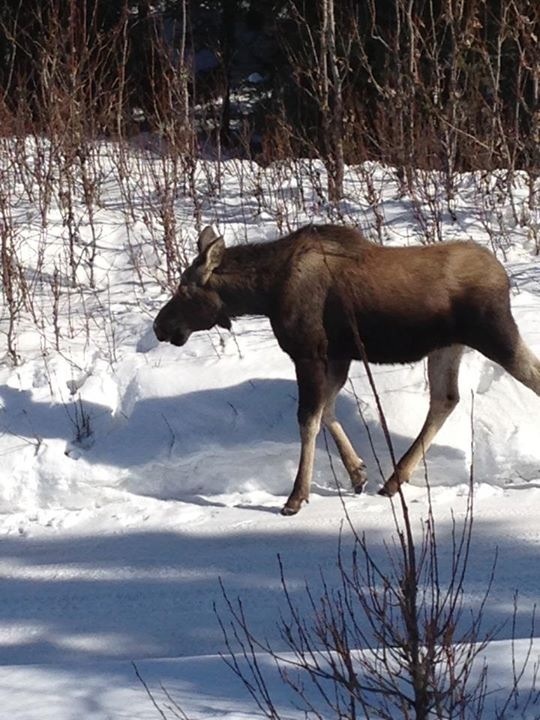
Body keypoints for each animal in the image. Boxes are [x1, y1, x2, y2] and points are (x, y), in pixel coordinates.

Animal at [153, 224, 540, 515]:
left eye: (184, 290)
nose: (160, 326)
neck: (264, 293)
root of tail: (504, 276)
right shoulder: (338, 356)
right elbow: (326, 411)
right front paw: (357, 473)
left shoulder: (309, 353)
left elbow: (308, 418)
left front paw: (296, 497)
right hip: (446, 346)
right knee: (445, 399)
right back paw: (394, 479)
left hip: (494, 334)